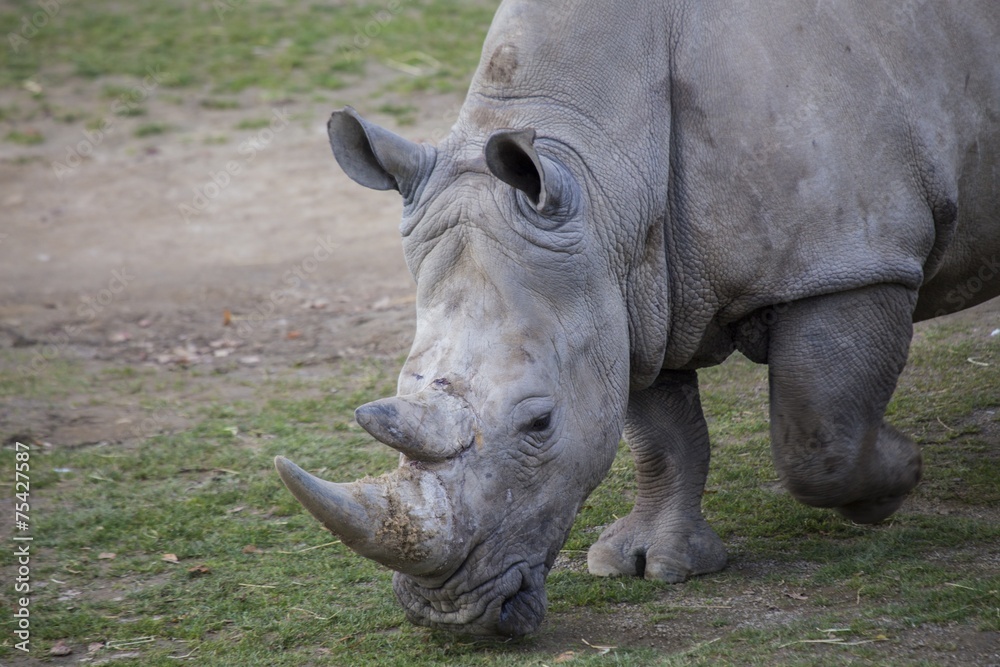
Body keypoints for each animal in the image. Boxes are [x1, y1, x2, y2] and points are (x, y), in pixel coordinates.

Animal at [275, 0, 1000, 637]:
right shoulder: (626, 292)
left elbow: (818, 439)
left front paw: (897, 480)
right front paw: (651, 565)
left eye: (539, 423)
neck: (602, 169)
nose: (446, 616)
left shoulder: (850, 260)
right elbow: (661, 436)